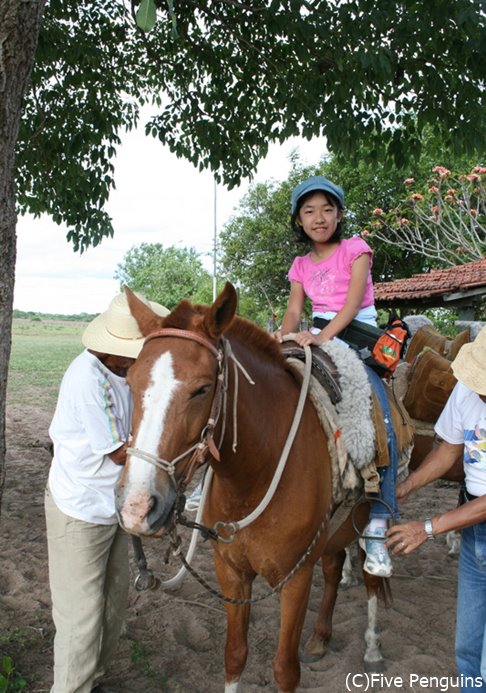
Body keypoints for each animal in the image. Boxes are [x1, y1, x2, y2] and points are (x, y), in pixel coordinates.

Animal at [115, 282, 402, 692]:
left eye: (202, 389)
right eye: (131, 381)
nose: (137, 507)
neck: (254, 475)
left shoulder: (296, 578)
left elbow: (285, 669)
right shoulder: (231, 572)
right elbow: (235, 655)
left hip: (368, 517)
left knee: (370, 577)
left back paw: (373, 646)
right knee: (333, 568)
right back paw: (320, 637)